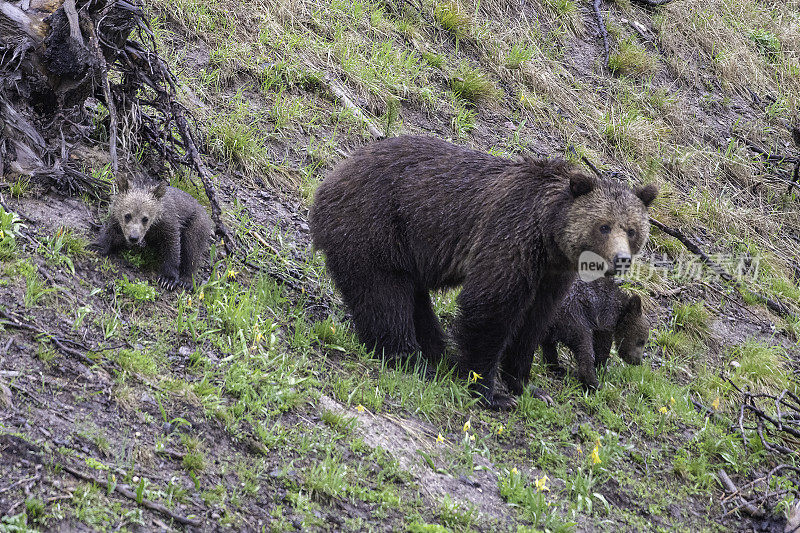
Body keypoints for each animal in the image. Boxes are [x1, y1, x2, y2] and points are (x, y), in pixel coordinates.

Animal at [310, 136, 652, 408]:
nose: (621, 259)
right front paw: (490, 391)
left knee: (413, 299)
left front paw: (528, 386)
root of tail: (331, 177)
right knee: (384, 297)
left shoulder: (551, 275)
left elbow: (534, 321)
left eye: (632, 230)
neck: (549, 233)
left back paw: (436, 351)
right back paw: (411, 359)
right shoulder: (511, 237)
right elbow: (491, 308)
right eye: (604, 226)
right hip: (375, 226)